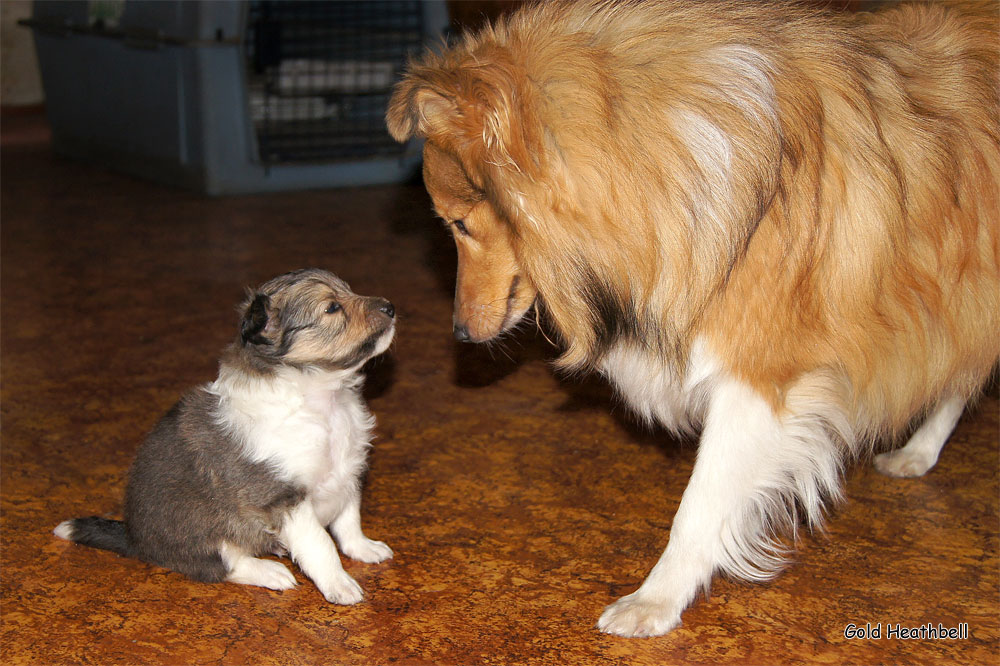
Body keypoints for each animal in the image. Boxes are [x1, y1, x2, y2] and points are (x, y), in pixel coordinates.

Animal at [55, 268, 394, 600]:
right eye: (332, 307)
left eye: (349, 290)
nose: (390, 307)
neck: (324, 400)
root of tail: (133, 538)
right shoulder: (283, 498)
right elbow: (321, 544)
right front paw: (339, 585)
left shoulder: (348, 472)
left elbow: (349, 520)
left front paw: (364, 548)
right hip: (198, 527)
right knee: (223, 563)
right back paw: (271, 572)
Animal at [388, 0, 1000, 632]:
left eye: (458, 224)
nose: (459, 333)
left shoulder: (760, 379)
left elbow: (700, 506)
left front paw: (653, 602)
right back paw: (917, 453)